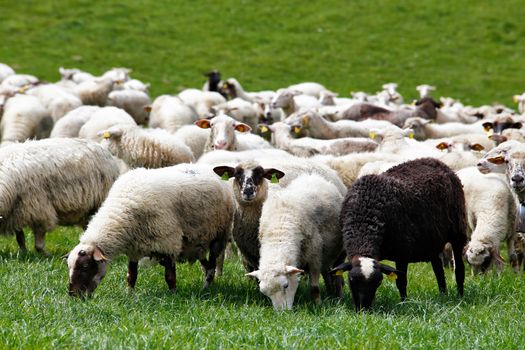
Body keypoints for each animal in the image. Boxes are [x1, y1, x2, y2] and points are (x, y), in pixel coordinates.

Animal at [66, 163, 234, 296]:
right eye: (69, 266)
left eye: (85, 266)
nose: (72, 294)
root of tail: (211, 172)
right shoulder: (134, 250)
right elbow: (131, 276)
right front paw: (129, 295)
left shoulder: (168, 243)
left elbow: (170, 277)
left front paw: (173, 296)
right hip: (195, 243)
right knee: (206, 265)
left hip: (218, 237)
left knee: (211, 266)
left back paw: (206, 288)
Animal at [246, 173, 344, 308]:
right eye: (264, 292)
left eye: (286, 285)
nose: (282, 312)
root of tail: (312, 176)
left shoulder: (314, 257)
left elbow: (314, 287)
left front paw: (318, 305)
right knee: (326, 272)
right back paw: (330, 293)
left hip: (337, 253)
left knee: (337, 274)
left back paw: (338, 297)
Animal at [334, 157, 464, 310]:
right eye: (351, 280)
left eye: (378, 282)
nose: (363, 309)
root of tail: (434, 160)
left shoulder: (402, 252)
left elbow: (401, 281)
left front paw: (404, 304)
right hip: (432, 241)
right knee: (438, 269)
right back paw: (443, 296)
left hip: (458, 231)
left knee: (459, 268)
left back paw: (460, 297)